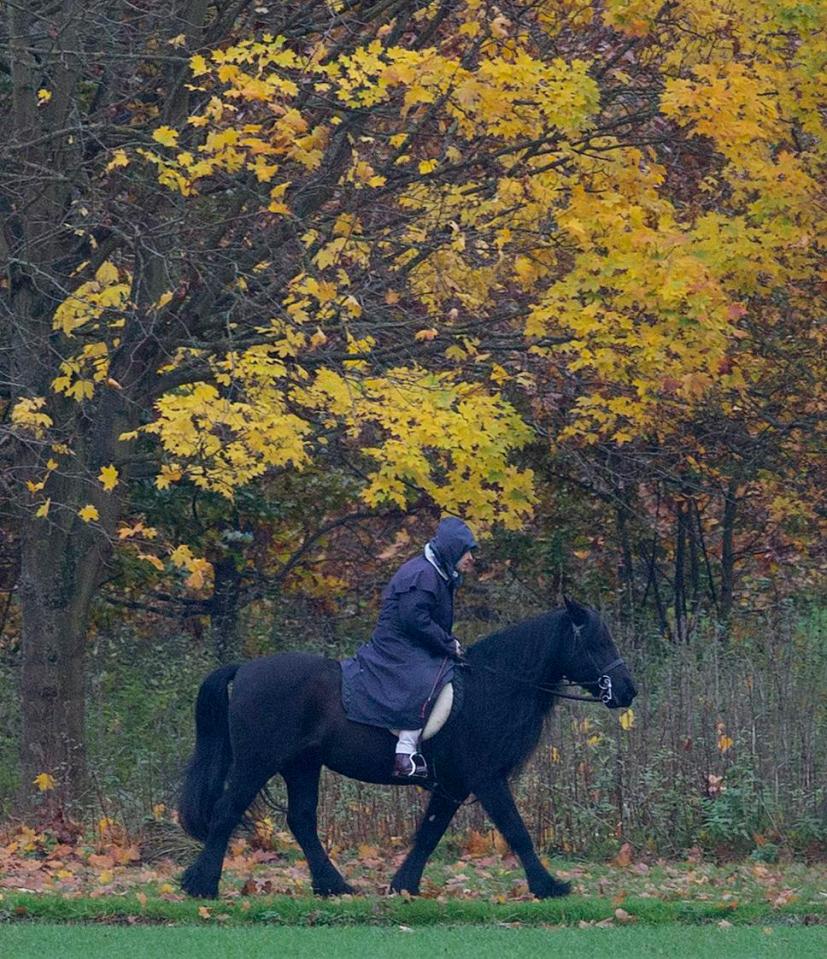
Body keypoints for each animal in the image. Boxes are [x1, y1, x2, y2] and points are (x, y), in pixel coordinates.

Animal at [178, 596, 636, 904]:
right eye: (597, 642)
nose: (627, 691)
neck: (493, 686)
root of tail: (245, 669)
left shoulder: (454, 784)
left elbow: (430, 832)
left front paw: (403, 885)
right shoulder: (486, 778)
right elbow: (516, 830)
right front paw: (549, 886)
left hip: (301, 765)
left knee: (302, 821)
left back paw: (333, 886)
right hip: (257, 763)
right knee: (226, 813)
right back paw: (202, 886)